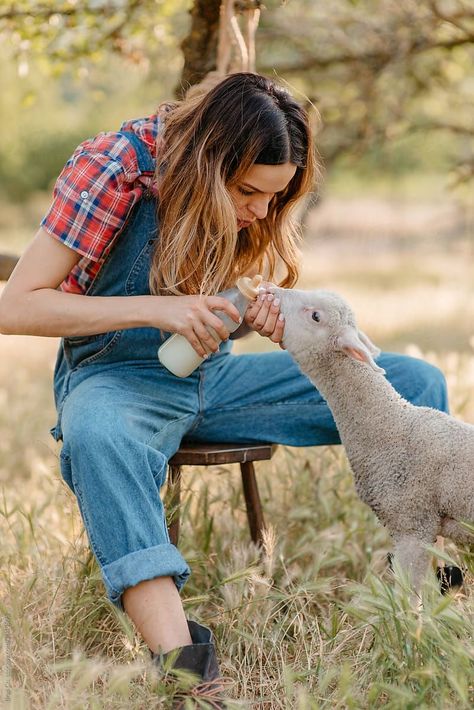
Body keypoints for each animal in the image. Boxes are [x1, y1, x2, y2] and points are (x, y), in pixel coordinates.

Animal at [270, 286, 474, 588]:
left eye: (316, 316)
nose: (270, 290)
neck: (390, 426)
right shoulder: (423, 529)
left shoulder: (412, 523)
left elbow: (408, 594)